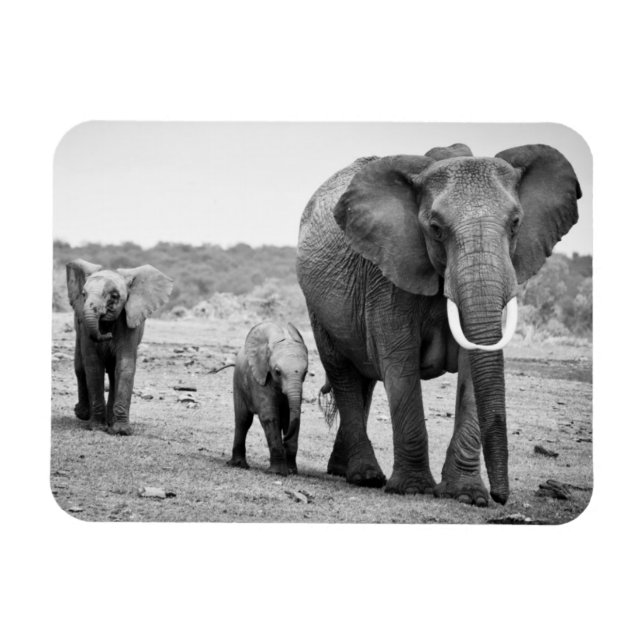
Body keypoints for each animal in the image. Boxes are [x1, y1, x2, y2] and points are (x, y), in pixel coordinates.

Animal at [66, 259, 173, 435]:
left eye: (115, 296)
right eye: (83, 295)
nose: (107, 335)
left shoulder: (129, 321)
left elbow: (124, 365)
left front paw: (121, 431)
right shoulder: (84, 327)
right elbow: (93, 366)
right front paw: (97, 427)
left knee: (113, 373)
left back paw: (110, 421)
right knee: (80, 367)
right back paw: (83, 414)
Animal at [226, 322, 309, 476]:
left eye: (305, 373)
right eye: (277, 372)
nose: (285, 439)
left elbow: (292, 418)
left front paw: (291, 471)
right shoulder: (259, 378)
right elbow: (269, 416)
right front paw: (277, 472)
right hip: (238, 383)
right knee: (243, 420)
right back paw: (239, 465)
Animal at [296, 143, 581, 505]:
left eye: (516, 223)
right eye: (435, 228)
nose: (501, 498)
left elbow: (474, 367)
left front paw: (468, 496)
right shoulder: (388, 274)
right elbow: (399, 363)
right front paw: (413, 489)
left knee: (365, 379)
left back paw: (342, 471)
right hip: (316, 304)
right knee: (343, 372)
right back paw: (365, 477)